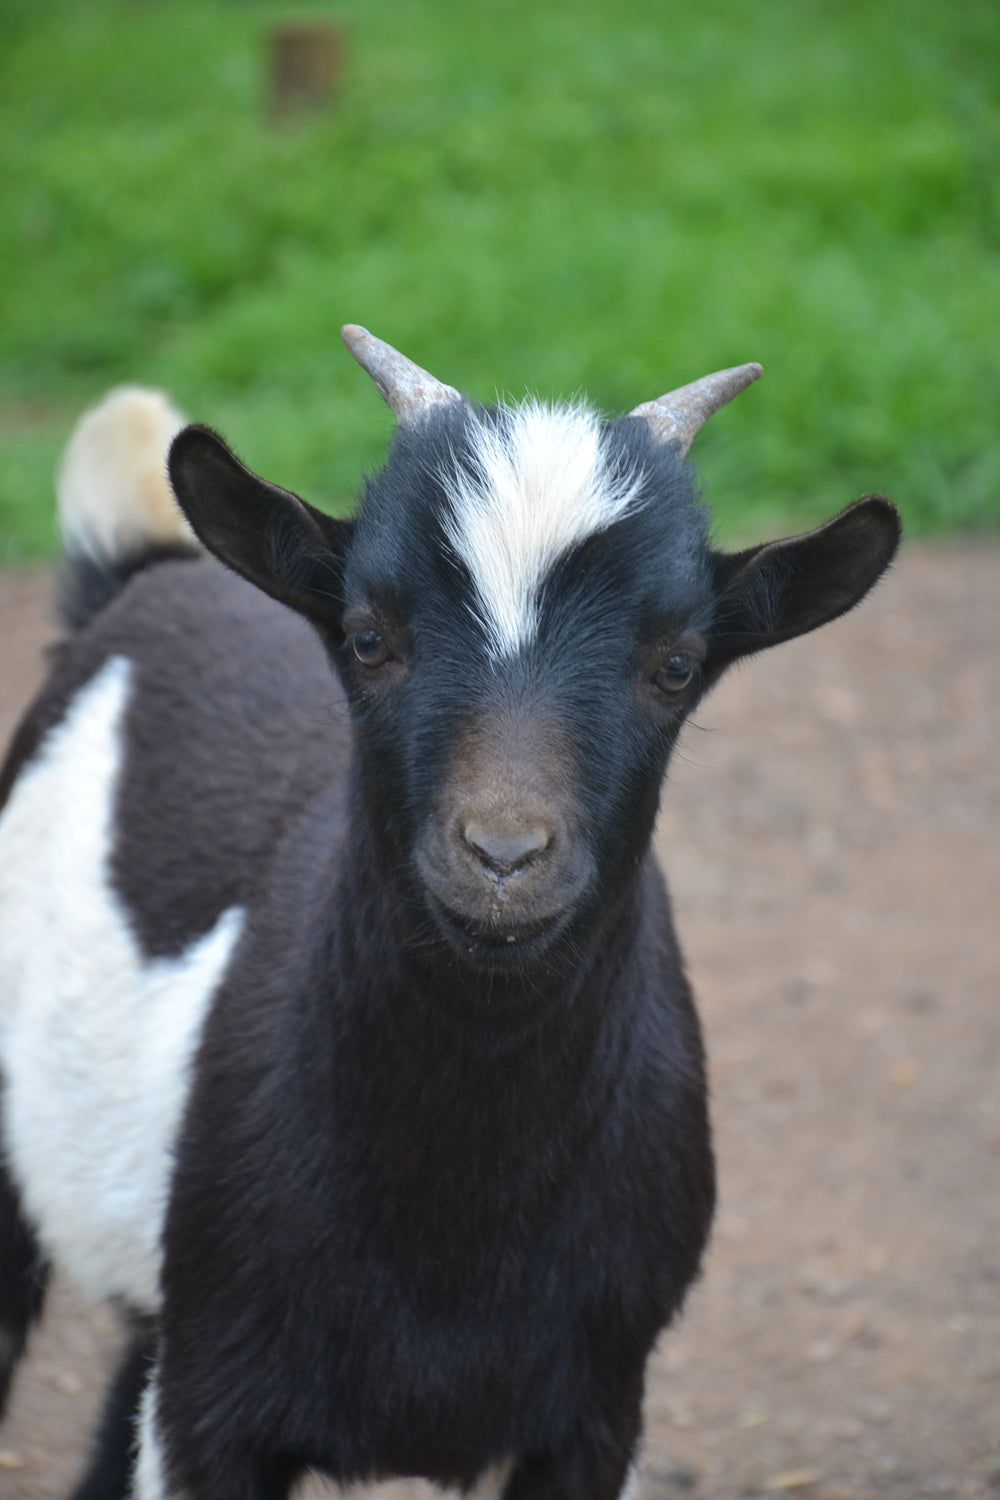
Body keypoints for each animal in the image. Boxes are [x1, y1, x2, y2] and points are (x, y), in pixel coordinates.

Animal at [0, 328, 900, 1500]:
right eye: (368, 637)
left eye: (675, 663)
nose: (503, 858)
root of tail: (143, 569)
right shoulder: (210, 1411)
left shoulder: (599, 1412)